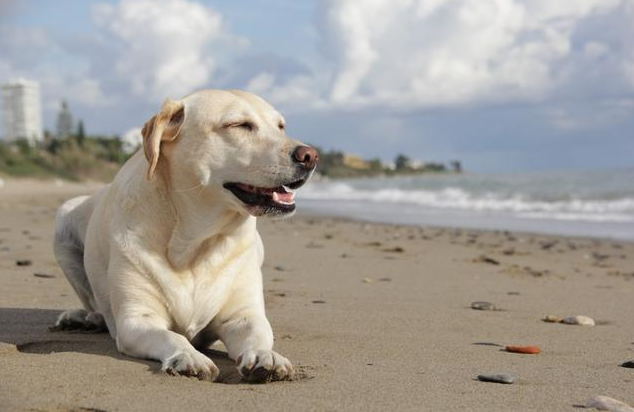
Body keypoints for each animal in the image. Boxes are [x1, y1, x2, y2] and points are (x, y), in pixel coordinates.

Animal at [51, 90, 316, 384]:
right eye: (239, 125)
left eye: (281, 126)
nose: (310, 155)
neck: (196, 242)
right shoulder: (137, 319)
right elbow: (171, 336)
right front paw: (188, 355)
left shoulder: (243, 316)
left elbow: (259, 333)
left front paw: (265, 356)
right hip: (63, 217)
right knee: (93, 302)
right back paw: (85, 318)